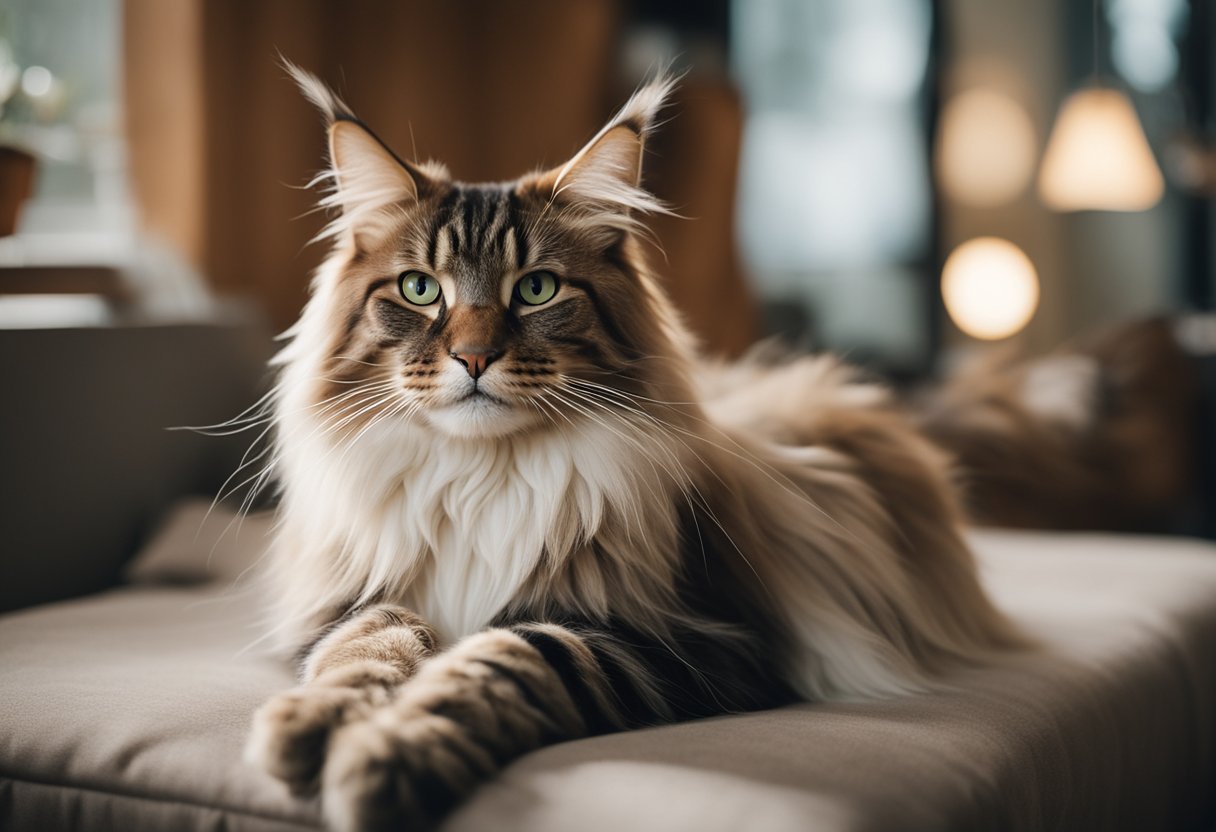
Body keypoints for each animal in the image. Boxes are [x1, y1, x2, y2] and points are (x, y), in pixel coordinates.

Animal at [244, 65, 1016, 832]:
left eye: (536, 289)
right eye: (418, 288)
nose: (473, 358)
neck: (483, 477)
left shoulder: (695, 641)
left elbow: (507, 660)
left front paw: (390, 754)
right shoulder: (354, 598)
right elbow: (369, 647)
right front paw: (312, 724)